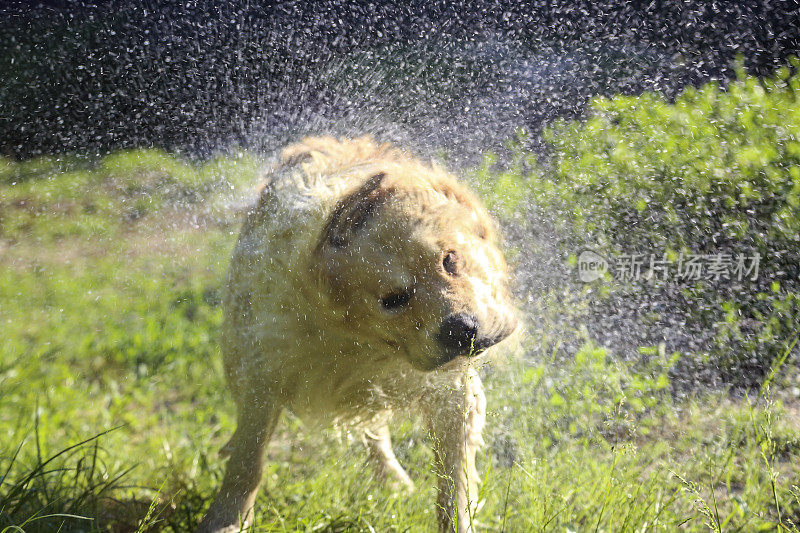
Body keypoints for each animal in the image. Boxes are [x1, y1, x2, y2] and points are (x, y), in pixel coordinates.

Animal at [197, 137, 516, 532]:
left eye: (450, 260)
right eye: (393, 300)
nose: (461, 329)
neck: (364, 343)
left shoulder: (451, 391)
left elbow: (454, 483)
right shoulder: (266, 372)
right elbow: (247, 458)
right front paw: (226, 519)